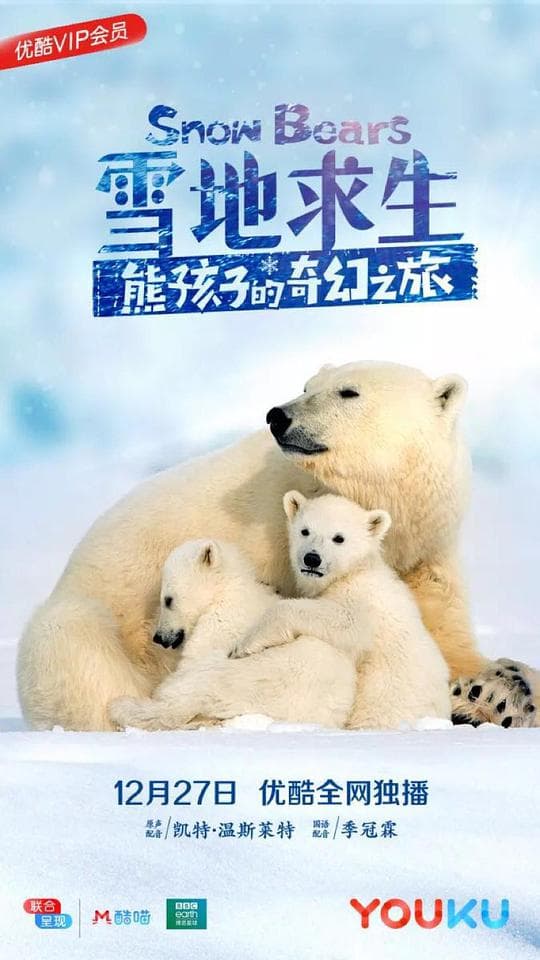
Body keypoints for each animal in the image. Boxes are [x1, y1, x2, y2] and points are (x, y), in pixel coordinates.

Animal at [232, 491, 451, 728]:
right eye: (305, 530)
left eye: (339, 538)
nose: (312, 558)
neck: (354, 571)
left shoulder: (362, 602)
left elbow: (346, 622)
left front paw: (245, 645)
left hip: (386, 699)